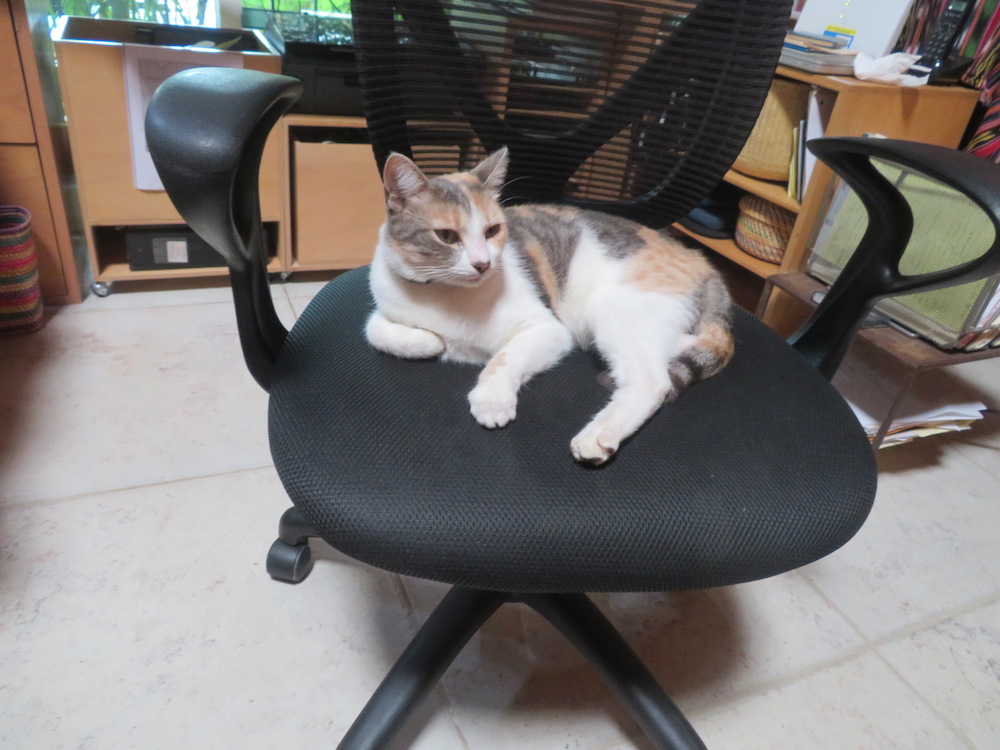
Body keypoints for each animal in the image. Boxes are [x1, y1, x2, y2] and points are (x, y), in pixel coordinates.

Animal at [365, 147, 734, 464]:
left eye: (492, 230)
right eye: (447, 236)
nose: (484, 264)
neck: (446, 295)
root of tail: (700, 259)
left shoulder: (550, 329)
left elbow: (504, 357)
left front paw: (492, 399)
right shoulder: (385, 300)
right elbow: (375, 329)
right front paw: (431, 341)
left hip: (614, 310)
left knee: (651, 382)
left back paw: (598, 435)